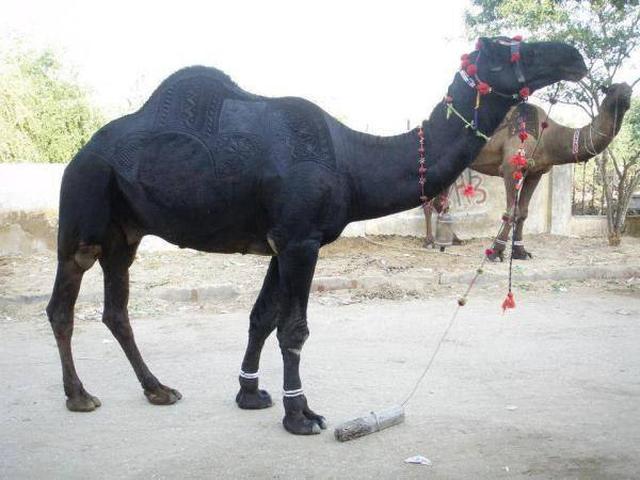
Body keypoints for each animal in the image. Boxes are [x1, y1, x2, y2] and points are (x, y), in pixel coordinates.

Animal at [47, 37, 586, 435]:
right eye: (502, 49)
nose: (573, 57)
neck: (352, 162)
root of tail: (80, 153)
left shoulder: (280, 243)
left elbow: (262, 318)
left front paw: (250, 394)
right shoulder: (300, 240)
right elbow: (294, 329)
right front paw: (300, 414)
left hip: (125, 233)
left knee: (116, 309)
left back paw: (158, 389)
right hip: (83, 210)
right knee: (61, 305)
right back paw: (80, 396)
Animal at [425, 83, 632, 260]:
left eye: (629, 88)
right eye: (611, 89)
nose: (627, 95)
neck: (548, 137)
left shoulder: (535, 172)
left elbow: (523, 212)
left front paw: (520, 251)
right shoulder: (511, 167)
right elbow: (511, 210)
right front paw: (495, 251)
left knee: (440, 202)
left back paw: (452, 240)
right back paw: (429, 242)